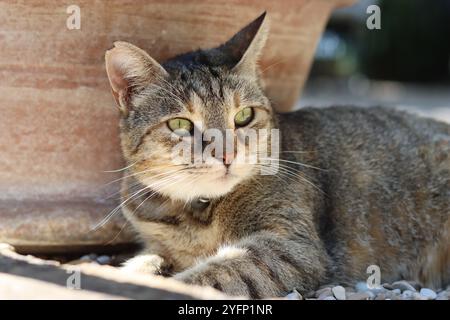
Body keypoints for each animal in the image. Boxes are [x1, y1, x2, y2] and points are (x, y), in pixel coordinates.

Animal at [103, 12, 448, 298]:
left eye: (244, 116)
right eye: (180, 125)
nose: (227, 154)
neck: (198, 213)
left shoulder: (291, 247)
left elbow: (213, 273)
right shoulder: (155, 240)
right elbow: (146, 259)